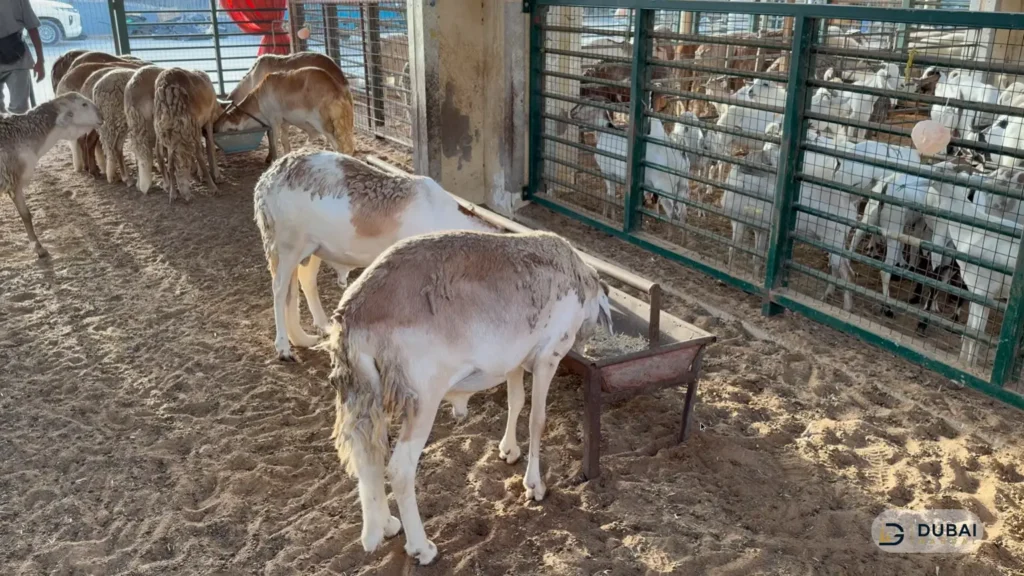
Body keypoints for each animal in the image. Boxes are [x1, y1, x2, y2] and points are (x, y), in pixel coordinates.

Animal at [0, 93, 103, 258]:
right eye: (83, 104)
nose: (102, 116)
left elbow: (25, 215)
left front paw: (39, 248)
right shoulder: (14, 181)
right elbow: (25, 215)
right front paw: (39, 249)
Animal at [153, 68, 221, 203]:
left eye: (186, 168)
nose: (187, 198)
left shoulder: (192, 129)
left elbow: (200, 157)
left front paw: (213, 187)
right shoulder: (171, 141)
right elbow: (170, 164)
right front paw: (173, 194)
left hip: (207, 119)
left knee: (209, 145)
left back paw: (215, 174)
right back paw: (200, 174)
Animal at [214, 67, 355, 162]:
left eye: (223, 120)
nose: (214, 128)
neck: (258, 99)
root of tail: (337, 91)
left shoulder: (274, 120)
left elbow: (274, 142)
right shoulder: (285, 122)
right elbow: (284, 142)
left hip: (323, 125)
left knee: (338, 145)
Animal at [252, 151, 501, 361]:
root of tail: (267, 179)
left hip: (312, 248)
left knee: (304, 282)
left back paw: (314, 331)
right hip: (285, 245)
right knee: (280, 290)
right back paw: (284, 348)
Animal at [324, 229, 612, 565]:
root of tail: (353, 315)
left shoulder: (513, 361)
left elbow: (516, 402)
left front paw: (508, 451)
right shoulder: (547, 358)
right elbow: (537, 420)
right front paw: (534, 486)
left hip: (365, 392)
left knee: (367, 455)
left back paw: (384, 526)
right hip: (423, 399)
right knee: (399, 469)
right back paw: (422, 548)